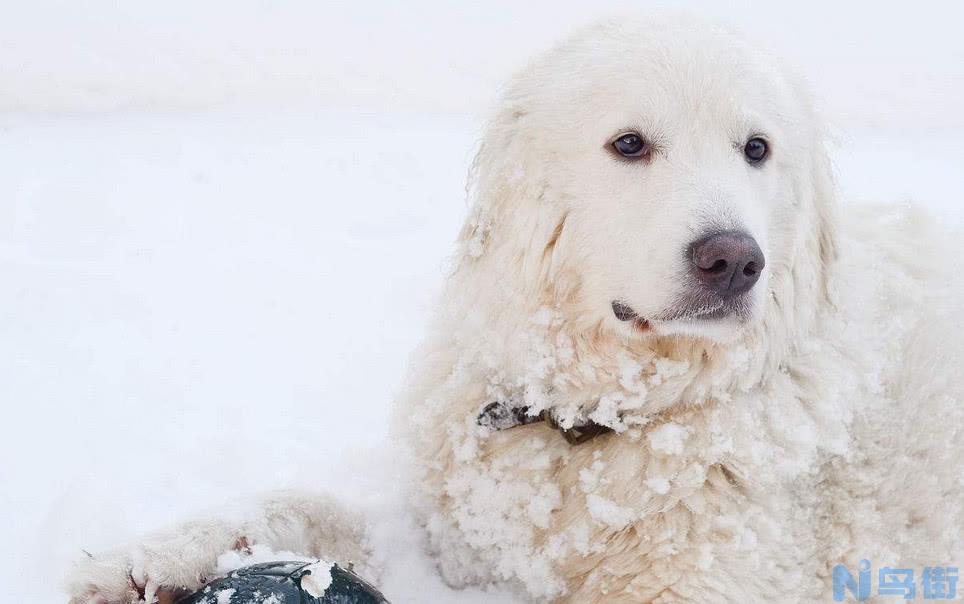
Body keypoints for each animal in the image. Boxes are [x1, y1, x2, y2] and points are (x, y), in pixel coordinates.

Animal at [68, 14, 964, 604]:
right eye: (629, 144)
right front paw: (155, 558)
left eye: (756, 149)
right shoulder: (452, 540)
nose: (735, 260)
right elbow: (307, 506)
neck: (595, 422)